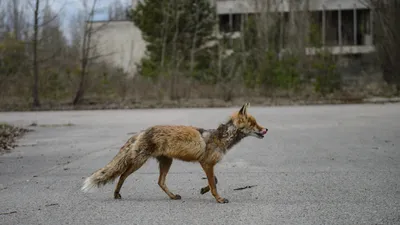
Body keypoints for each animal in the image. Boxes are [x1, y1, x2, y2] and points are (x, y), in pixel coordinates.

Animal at [80, 103, 268, 203]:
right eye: (253, 124)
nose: (266, 129)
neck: (220, 138)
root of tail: (142, 131)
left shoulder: (207, 164)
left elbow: (214, 180)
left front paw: (203, 190)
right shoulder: (207, 163)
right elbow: (214, 184)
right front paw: (218, 199)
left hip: (166, 162)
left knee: (160, 182)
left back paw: (172, 196)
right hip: (139, 162)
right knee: (122, 175)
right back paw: (116, 194)